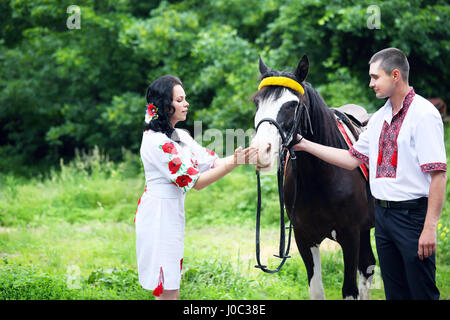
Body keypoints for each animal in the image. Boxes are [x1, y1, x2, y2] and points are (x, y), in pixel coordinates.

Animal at [250, 53, 376, 298]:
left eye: (292, 104)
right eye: (257, 102)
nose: (261, 150)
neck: (319, 177)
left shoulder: (350, 236)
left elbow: (350, 290)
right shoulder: (304, 238)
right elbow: (316, 290)